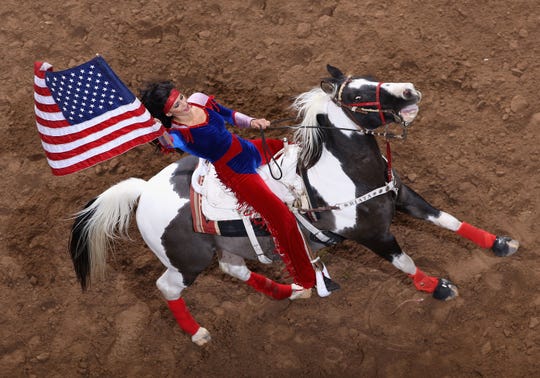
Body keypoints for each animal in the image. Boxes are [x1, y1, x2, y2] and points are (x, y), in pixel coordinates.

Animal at [69, 64, 516, 346]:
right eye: (357, 94)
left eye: (374, 77)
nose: (409, 90)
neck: (344, 172)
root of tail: (144, 189)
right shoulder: (372, 233)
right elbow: (404, 262)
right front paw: (438, 287)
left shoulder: (403, 198)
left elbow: (449, 221)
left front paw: (500, 244)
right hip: (187, 263)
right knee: (168, 287)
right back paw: (198, 333)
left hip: (228, 246)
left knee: (234, 269)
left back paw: (292, 291)